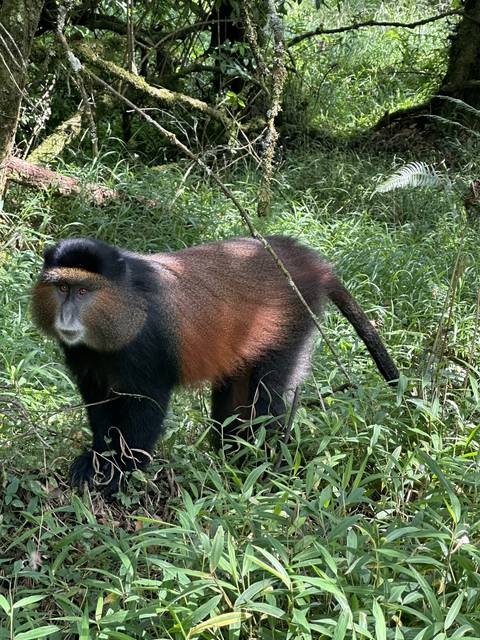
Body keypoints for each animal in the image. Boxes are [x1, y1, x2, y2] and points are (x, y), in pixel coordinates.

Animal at [32, 236, 399, 494]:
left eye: (83, 291)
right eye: (62, 287)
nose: (66, 317)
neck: (124, 306)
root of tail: (305, 259)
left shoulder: (148, 355)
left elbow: (146, 411)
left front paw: (121, 472)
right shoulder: (85, 363)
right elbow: (99, 406)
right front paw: (96, 459)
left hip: (293, 322)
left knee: (269, 398)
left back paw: (265, 466)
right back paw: (233, 458)